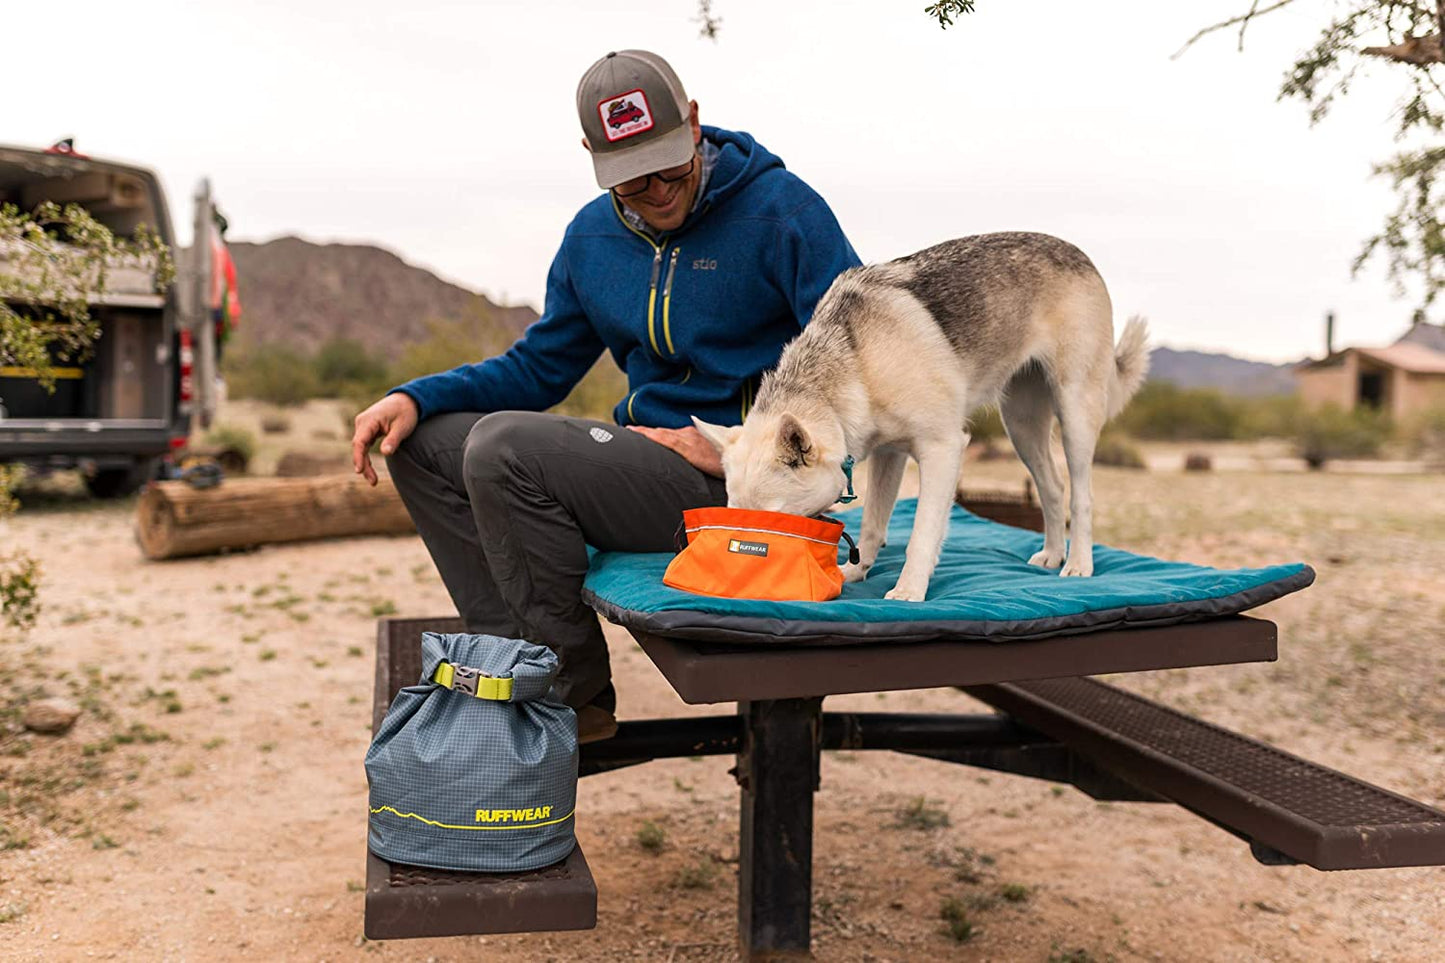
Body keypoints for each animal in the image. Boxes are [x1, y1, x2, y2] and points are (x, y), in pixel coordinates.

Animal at [690, 228, 1150, 595]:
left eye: (771, 520)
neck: (856, 362)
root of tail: (1079, 252)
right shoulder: (888, 455)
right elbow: (873, 524)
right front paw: (854, 573)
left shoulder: (942, 449)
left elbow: (922, 534)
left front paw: (909, 589)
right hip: (1021, 426)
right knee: (1052, 487)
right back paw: (1053, 554)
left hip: (1075, 413)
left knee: (1081, 496)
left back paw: (1079, 564)